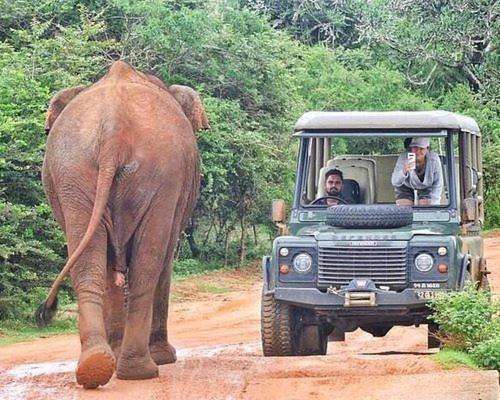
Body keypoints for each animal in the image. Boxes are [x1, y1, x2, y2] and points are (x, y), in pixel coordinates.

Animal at [36, 61, 209, 390]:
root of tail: (114, 130)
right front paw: (163, 358)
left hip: (75, 173)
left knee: (90, 263)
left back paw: (98, 365)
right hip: (157, 175)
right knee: (148, 266)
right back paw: (141, 369)